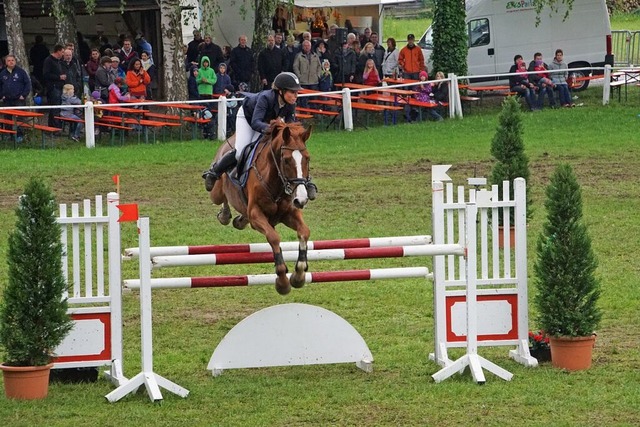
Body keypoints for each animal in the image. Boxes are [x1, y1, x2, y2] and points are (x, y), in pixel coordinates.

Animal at [210, 120, 312, 294]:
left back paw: (240, 220)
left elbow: (304, 232)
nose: (302, 199)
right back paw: (223, 211)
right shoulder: (256, 215)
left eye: (307, 159)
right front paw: (282, 281)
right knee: (221, 197)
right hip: (216, 192)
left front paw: (298, 275)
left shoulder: (290, 213)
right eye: (286, 160)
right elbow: (274, 237)